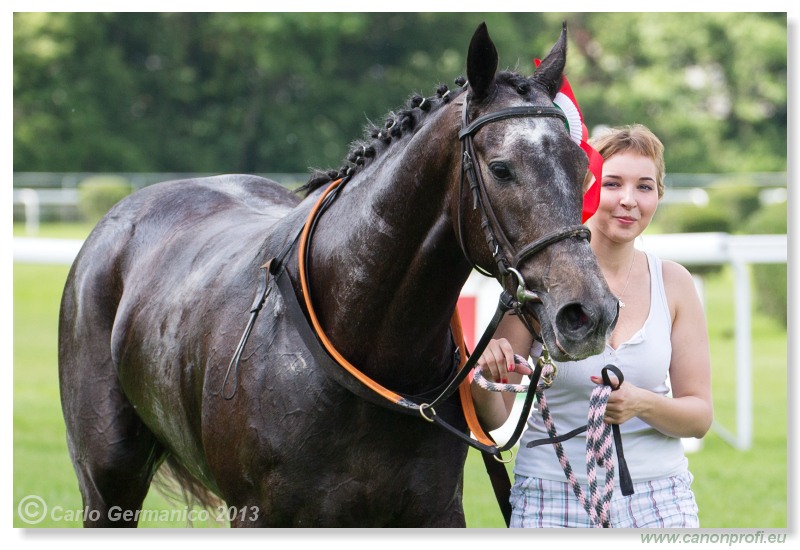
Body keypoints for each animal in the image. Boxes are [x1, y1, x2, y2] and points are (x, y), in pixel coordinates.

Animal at [57, 22, 620, 532]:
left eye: (582, 170)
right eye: (502, 168)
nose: (588, 313)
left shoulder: (432, 513)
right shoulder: (261, 516)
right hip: (108, 484)